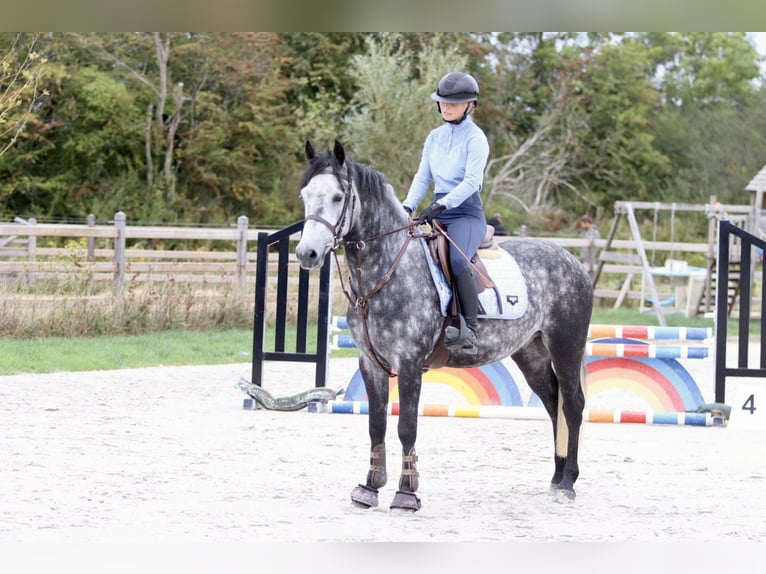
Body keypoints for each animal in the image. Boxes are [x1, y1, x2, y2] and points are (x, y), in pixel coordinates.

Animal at [295, 140, 594, 511]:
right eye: (305, 194)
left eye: (338, 197)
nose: (306, 253)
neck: (388, 270)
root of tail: (573, 261)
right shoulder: (370, 364)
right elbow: (376, 426)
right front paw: (369, 488)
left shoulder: (409, 363)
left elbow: (406, 427)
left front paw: (406, 494)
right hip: (532, 353)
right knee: (554, 404)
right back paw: (555, 477)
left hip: (566, 345)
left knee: (573, 404)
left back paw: (568, 483)